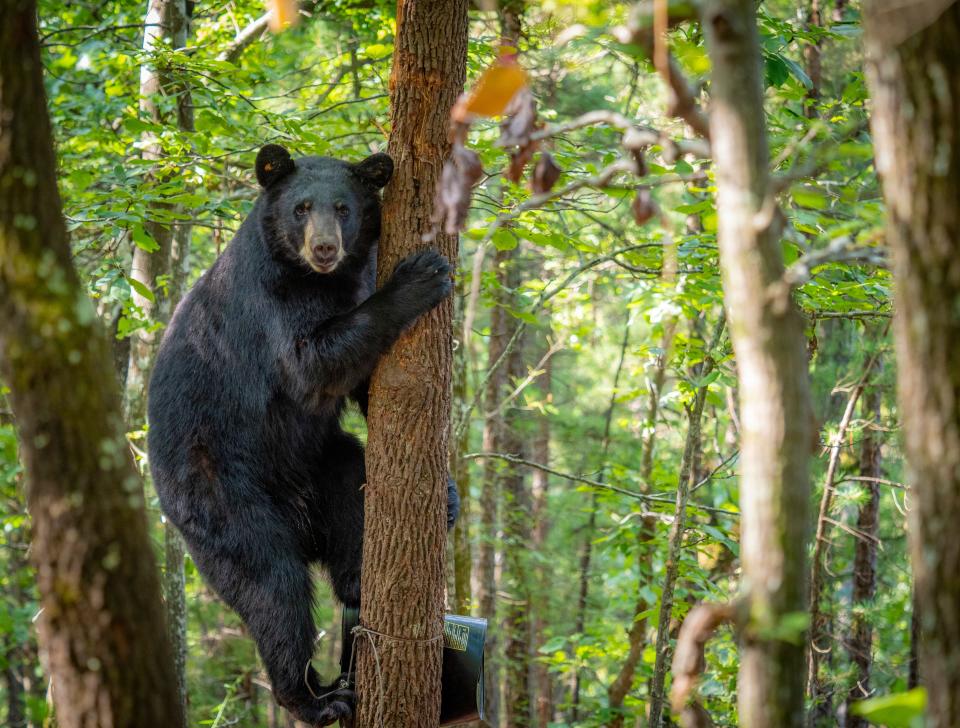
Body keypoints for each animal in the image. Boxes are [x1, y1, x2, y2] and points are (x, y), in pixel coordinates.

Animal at [148, 145, 460, 724]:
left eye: (343, 207)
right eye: (301, 207)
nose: (324, 248)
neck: (321, 280)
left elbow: (365, 383)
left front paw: (448, 490)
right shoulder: (270, 302)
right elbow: (313, 362)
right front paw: (423, 275)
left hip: (323, 464)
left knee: (353, 495)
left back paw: (361, 589)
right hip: (218, 493)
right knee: (272, 586)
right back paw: (314, 696)